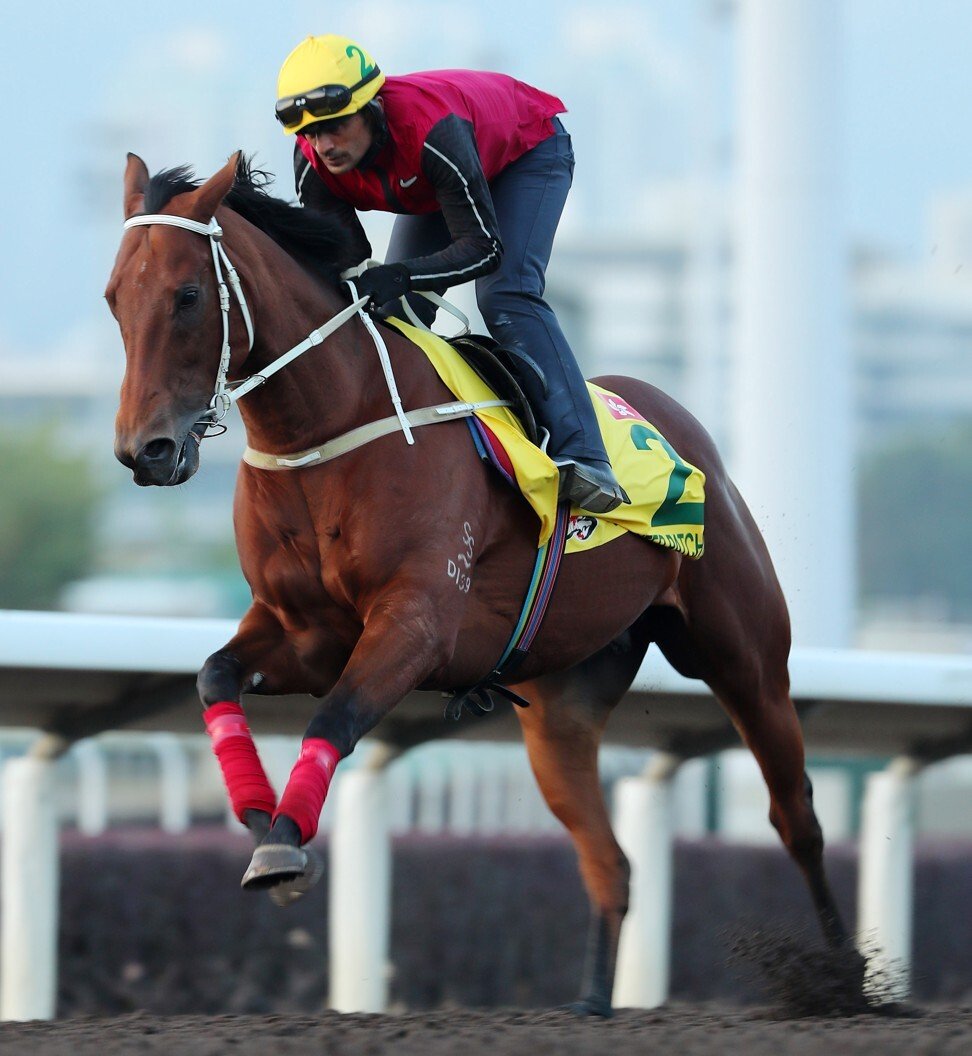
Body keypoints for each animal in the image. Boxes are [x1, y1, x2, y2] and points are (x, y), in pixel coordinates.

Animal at [109, 151, 862, 1013]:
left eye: (188, 296)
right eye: (113, 299)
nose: (145, 451)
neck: (331, 427)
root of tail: (671, 416)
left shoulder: (415, 622)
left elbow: (334, 718)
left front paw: (282, 848)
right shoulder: (302, 631)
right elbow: (214, 677)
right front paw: (260, 816)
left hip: (745, 658)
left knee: (795, 815)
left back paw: (844, 977)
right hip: (565, 703)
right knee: (610, 860)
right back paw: (593, 1001)